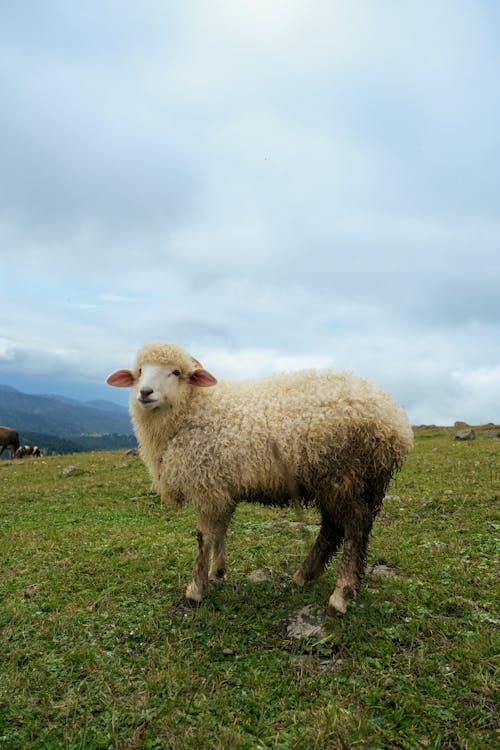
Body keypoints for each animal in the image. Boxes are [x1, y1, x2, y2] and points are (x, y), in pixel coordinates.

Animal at [106, 344, 414, 620]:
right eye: (140, 371)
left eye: (176, 372)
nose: (145, 392)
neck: (195, 409)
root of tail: (394, 421)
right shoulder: (222, 487)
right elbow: (221, 531)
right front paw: (217, 573)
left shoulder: (207, 484)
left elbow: (204, 538)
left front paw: (195, 590)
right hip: (359, 481)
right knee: (334, 528)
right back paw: (305, 575)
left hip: (341, 475)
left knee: (353, 526)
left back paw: (341, 594)